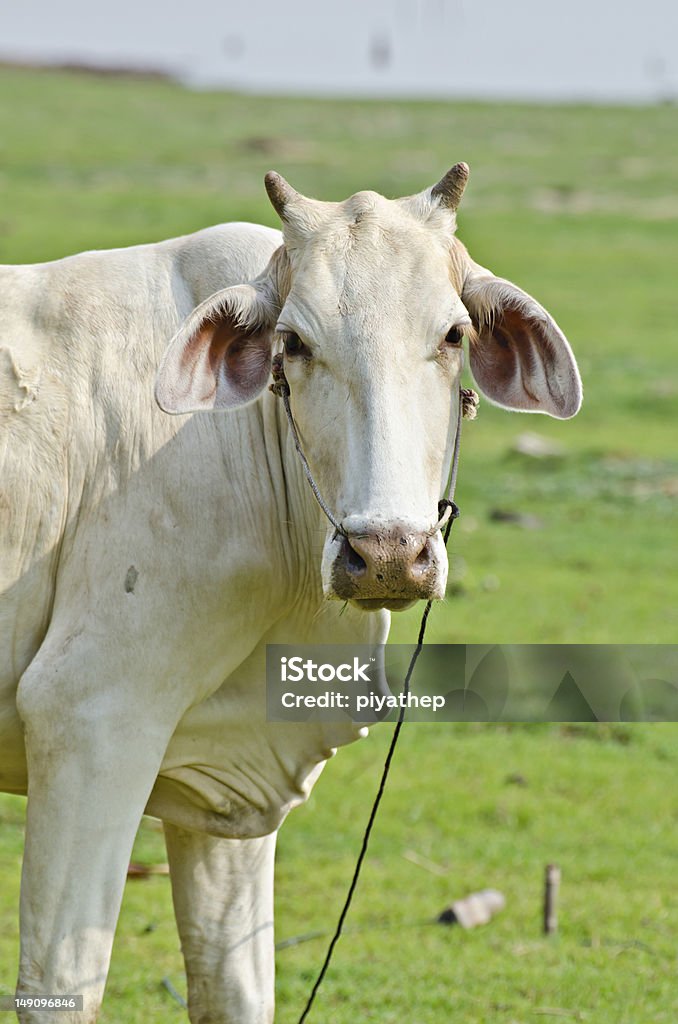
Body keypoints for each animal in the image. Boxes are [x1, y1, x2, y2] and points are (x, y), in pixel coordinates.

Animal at [0, 163, 585, 1019]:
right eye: (295, 343)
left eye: (454, 335)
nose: (387, 554)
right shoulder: (88, 718)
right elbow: (62, 986)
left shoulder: (220, 788)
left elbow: (235, 991)